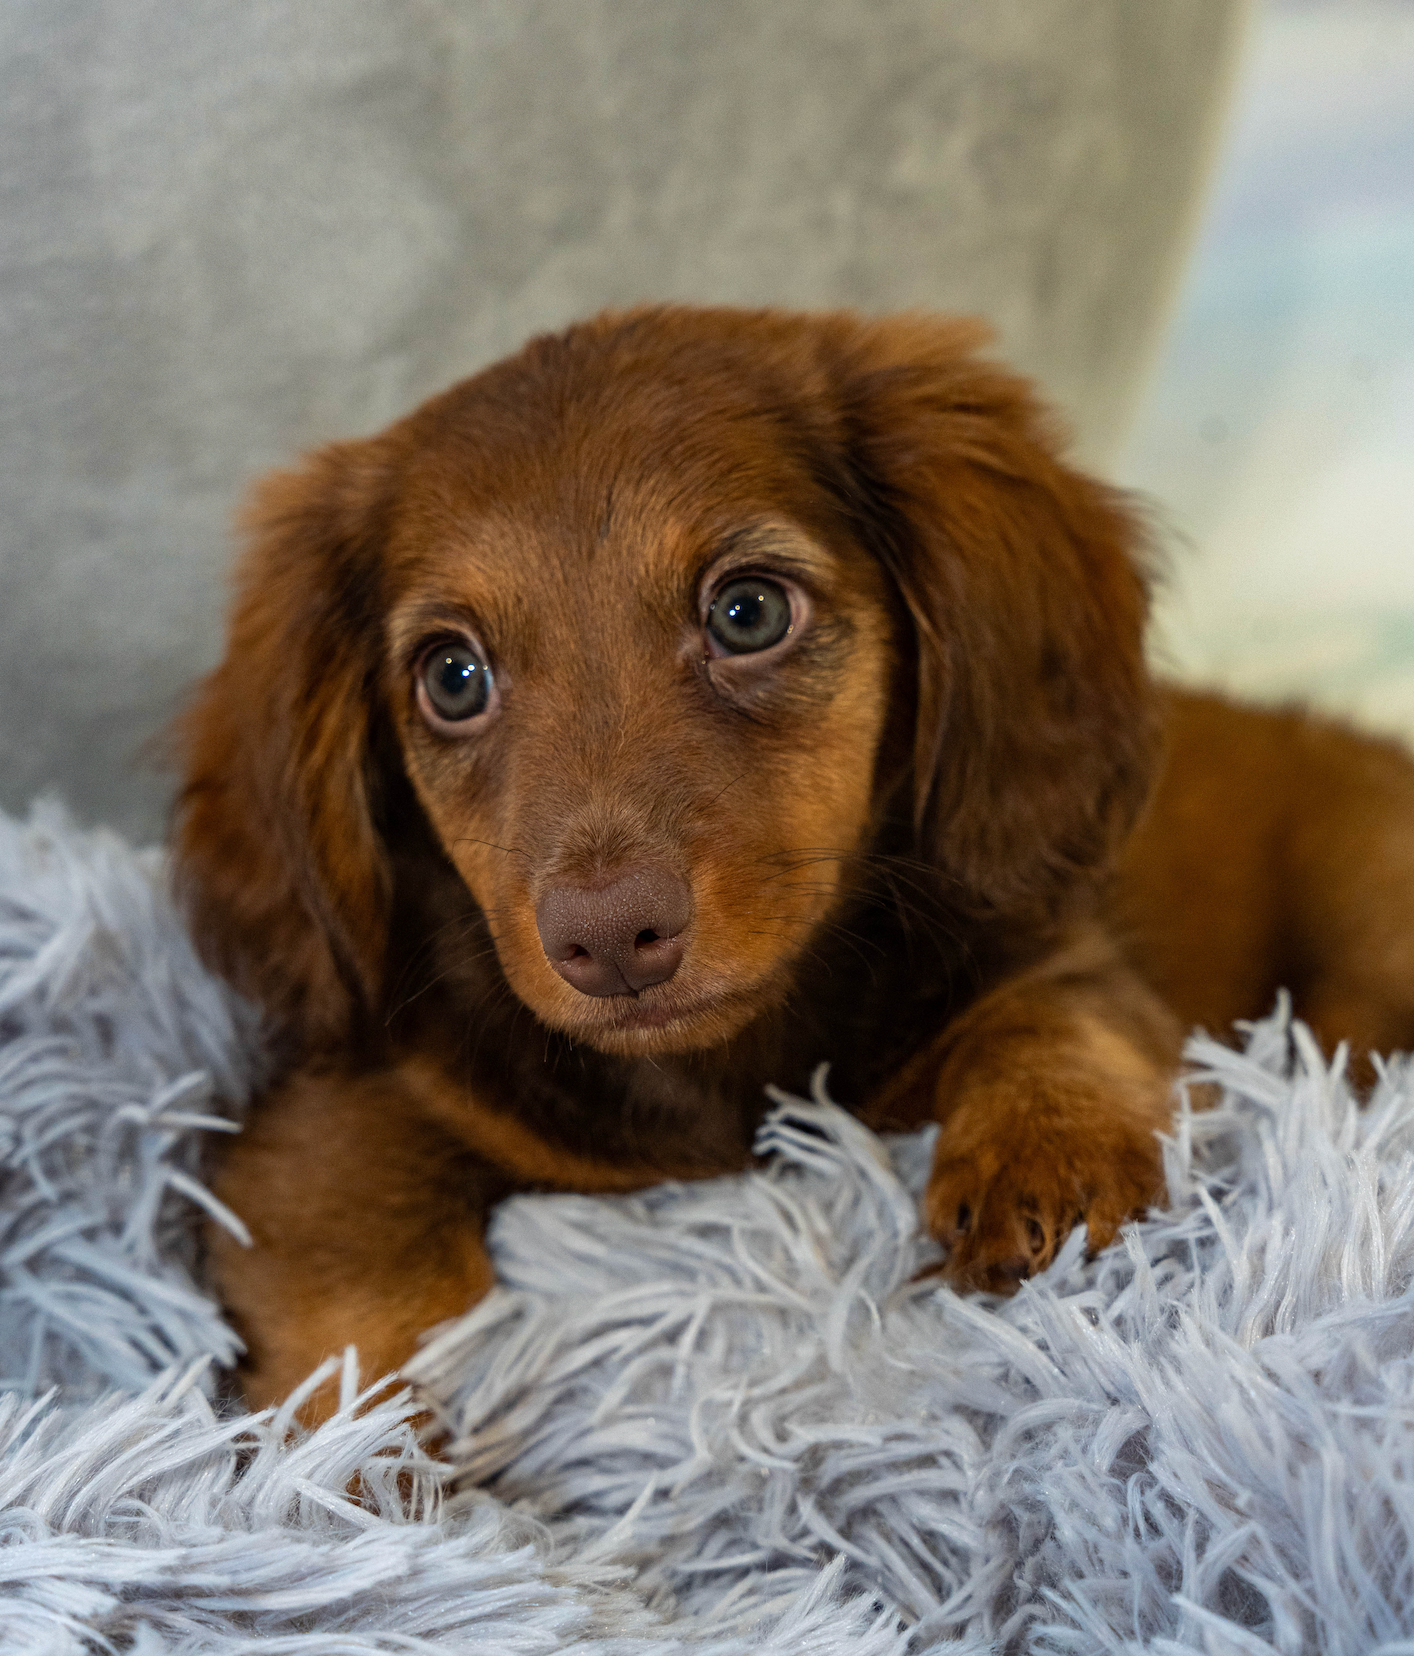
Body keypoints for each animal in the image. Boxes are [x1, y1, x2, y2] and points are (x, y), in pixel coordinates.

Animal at [174, 308, 1414, 1410]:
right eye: (452, 676)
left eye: (748, 611)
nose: (606, 941)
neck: (725, 1074)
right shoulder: (326, 1124)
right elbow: (356, 1319)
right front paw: (373, 1483)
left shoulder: (1050, 949)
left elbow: (1057, 1021)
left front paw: (1049, 1160)